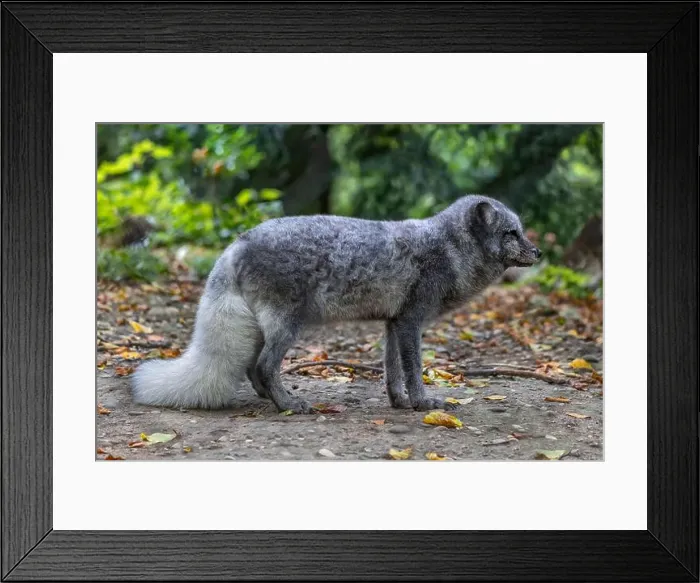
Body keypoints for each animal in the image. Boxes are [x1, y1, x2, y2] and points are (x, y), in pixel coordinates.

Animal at [132, 195, 541, 414]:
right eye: (512, 233)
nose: (539, 252)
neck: (448, 248)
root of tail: (238, 242)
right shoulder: (411, 323)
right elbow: (414, 370)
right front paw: (424, 403)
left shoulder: (393, 323)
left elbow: (391, 371)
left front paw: (399, 402)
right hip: (288, 325)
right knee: (263, 366)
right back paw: (288, 405)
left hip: (267, 328)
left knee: (251, 367)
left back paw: (271, 399)